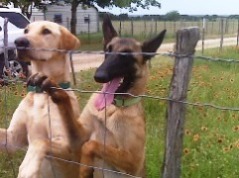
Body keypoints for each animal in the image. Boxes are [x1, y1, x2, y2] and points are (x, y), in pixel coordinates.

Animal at [0, 21, 85, 178]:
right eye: (26, 30)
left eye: (46, 31)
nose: (19, 42)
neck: (41, 93)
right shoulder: (12, 138)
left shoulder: (68, 145)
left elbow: (41, 142)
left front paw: (28, 167)